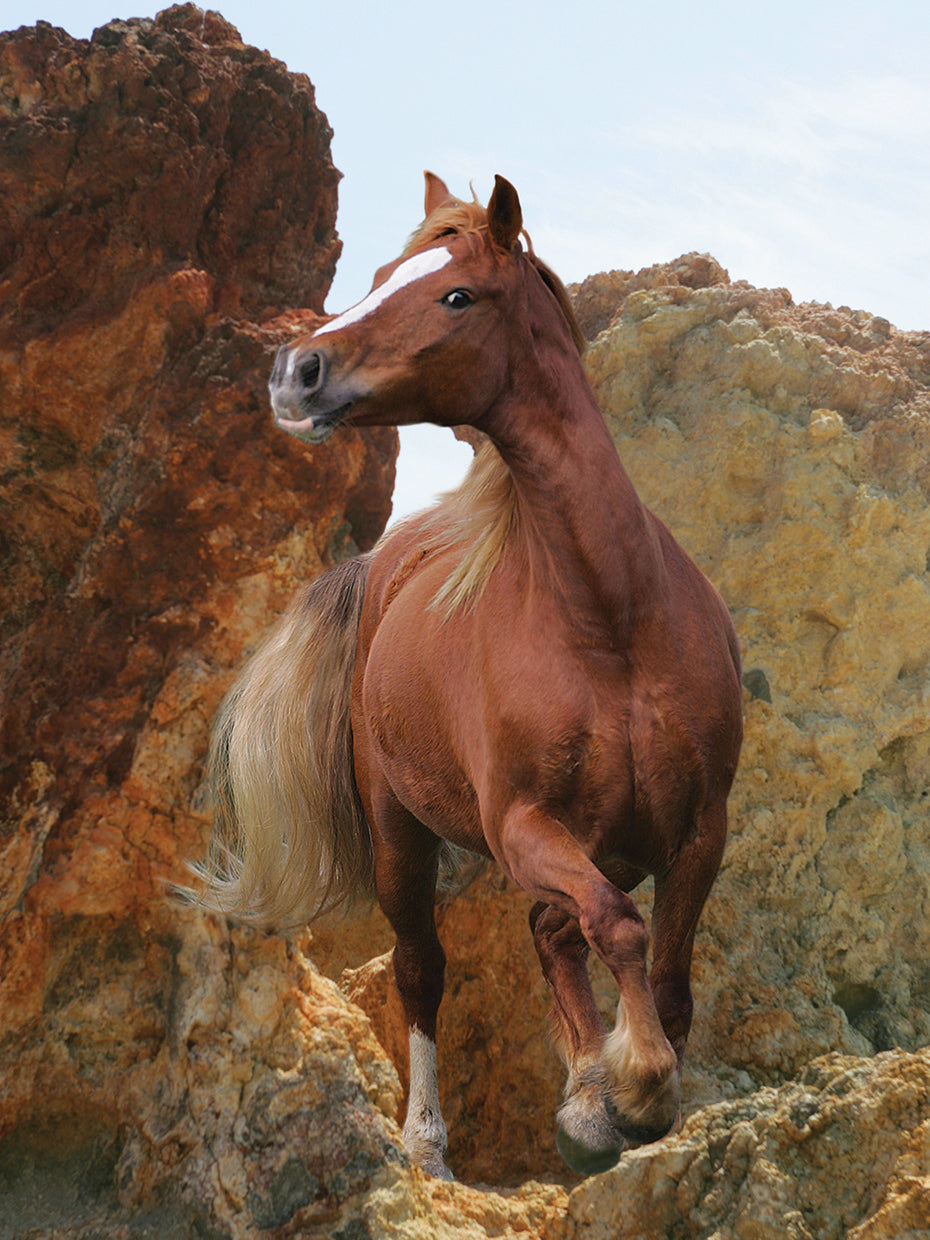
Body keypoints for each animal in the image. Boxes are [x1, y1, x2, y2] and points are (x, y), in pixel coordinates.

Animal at [196, 172, 743, 1180]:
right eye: (380, 276)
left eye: (457, 295)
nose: (295, 372)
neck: (610, 619)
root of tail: (383, 564)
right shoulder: (523, 825)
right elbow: (618, 927)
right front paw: (638, 1086)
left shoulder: (700, 829)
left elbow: (667, 972)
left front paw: (630, 1098)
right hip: (400, 833)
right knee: (427, 966)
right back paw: (432, 1144)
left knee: (554, 933)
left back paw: (581, 1100)